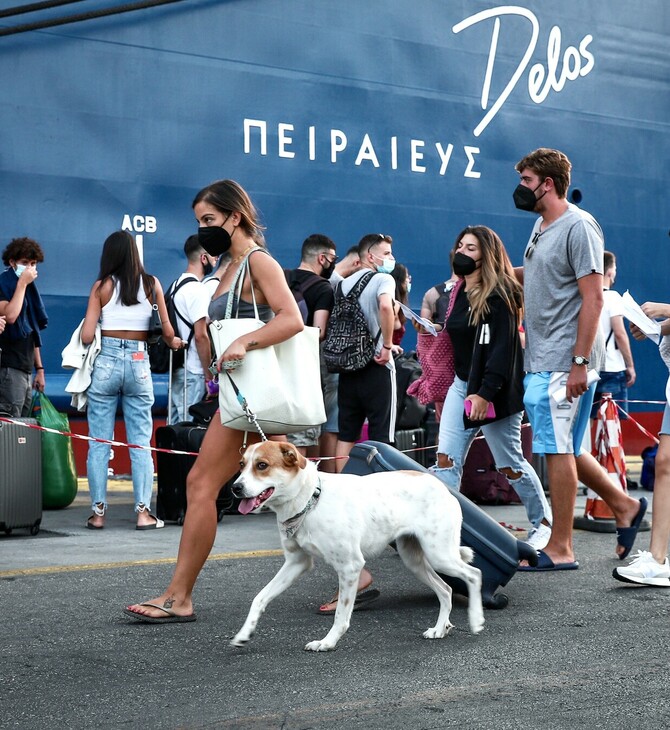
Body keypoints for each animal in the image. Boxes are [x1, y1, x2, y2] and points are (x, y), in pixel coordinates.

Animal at [230, 438, 484, 648]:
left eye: (262, 465)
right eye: (241, 464)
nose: (235, 487)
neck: (310, 499)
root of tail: (443, 488)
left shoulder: (350, 567)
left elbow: (341, 615)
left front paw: (328, 642)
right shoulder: (296, 563)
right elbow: (260, 597)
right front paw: (244, 633)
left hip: (439, 554)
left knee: (474, 574)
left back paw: (476, 620)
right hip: (414, 560)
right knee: (446, 589)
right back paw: (440, 629)